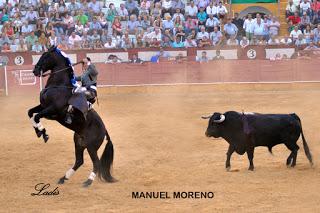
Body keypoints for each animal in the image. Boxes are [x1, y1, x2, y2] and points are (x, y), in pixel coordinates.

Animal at [27, 46, 115, 186]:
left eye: (45, 56)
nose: (35, 71)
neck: (59, 85)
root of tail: (105, 130)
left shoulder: (52, 109)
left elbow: (36, 116)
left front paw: (43, 133)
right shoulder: (42, 106)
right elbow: (30, 112)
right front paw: (39, 132)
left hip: (91, 147)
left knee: (96, 162)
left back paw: (88, 181)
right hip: (78, 143)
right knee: (79, 161)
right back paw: (64, 178)